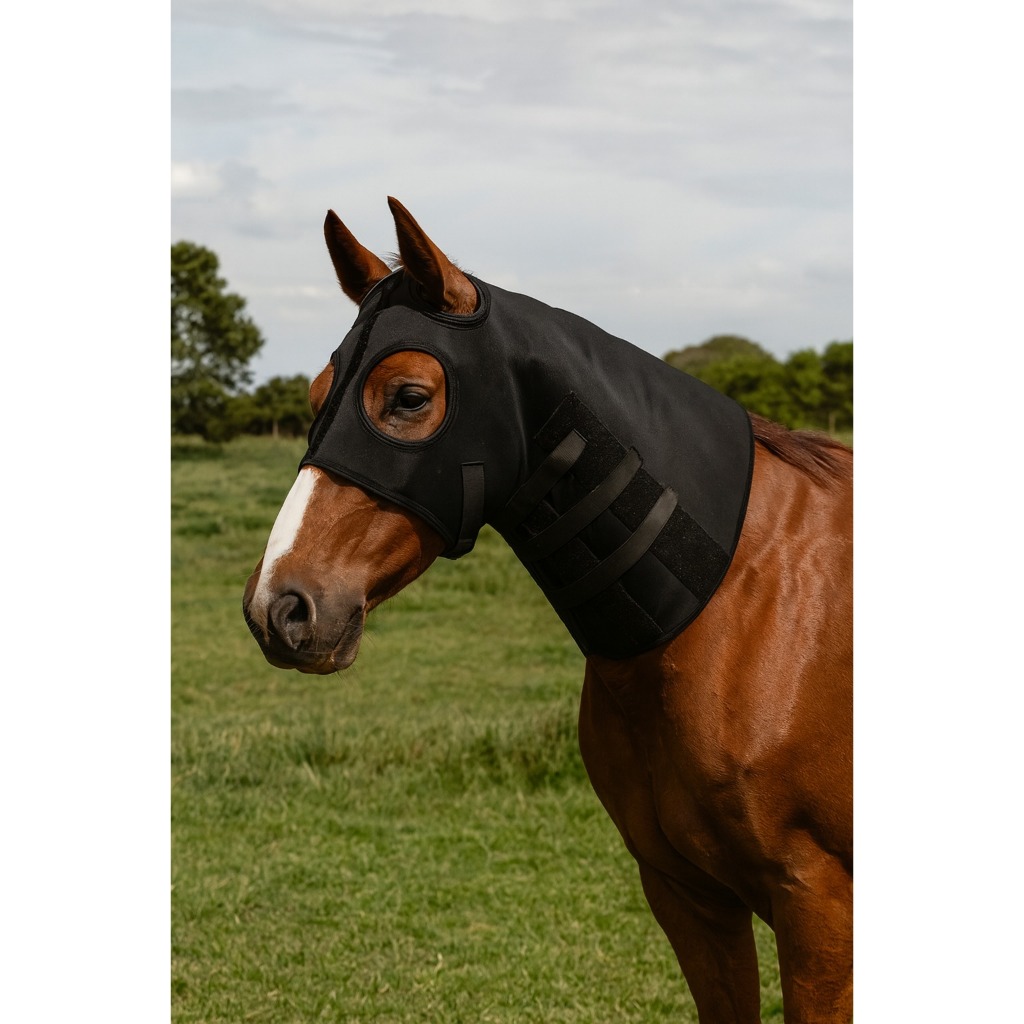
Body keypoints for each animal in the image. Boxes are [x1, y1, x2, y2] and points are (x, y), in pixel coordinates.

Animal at [242, 197, 853, 1023]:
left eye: (408, 398)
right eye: (314, 398)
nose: (280, 607)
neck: (743, 603)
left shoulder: (818, 910)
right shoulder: (689, 897)